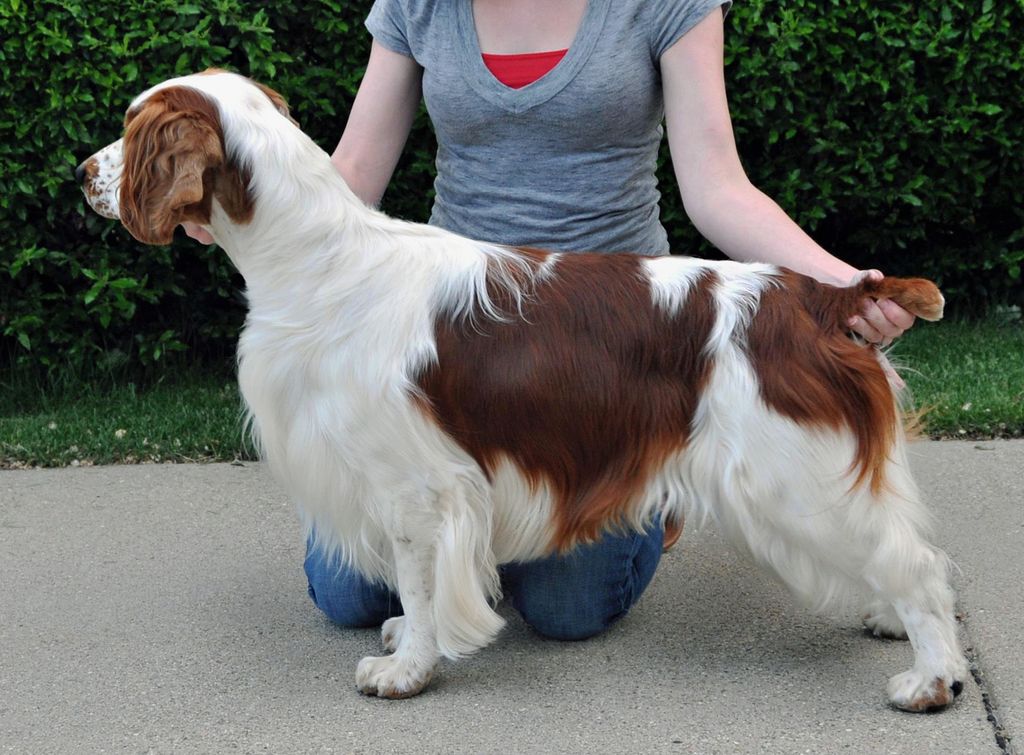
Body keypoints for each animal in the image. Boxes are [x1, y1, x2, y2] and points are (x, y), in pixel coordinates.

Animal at [79, 69, 966, 704]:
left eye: (129, 128)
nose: (82, 171)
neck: (316, 259)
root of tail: (819, 296)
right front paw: (404, 639)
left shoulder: (416, 486)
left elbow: (420, 580)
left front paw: (408, 669)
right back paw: (891, 622)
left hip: (789, 477)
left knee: (920, 564)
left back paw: (933, 677)